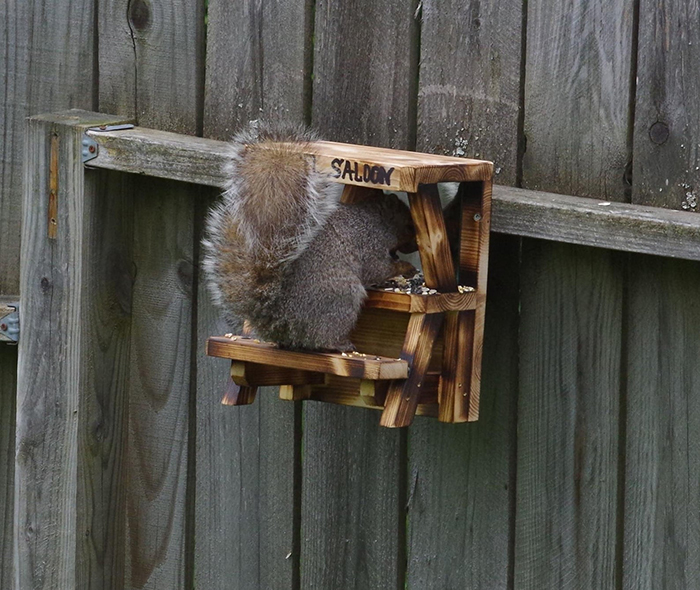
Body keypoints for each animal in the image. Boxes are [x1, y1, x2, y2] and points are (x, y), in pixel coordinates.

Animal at [205, 121, 418, 352]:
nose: (416, 247)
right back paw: (341, 345)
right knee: (324, 337)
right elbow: (378, 269)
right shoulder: (369, 243)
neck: (376, 220)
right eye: (409, 226)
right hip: (342, 296)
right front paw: (406, 268)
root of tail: (280, 321)